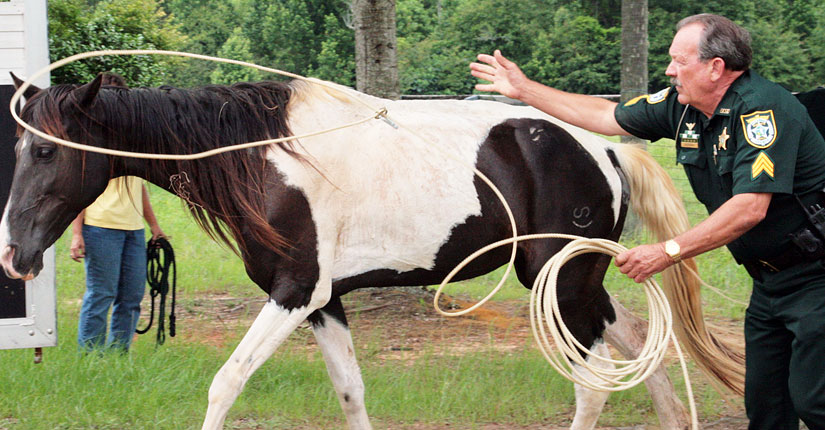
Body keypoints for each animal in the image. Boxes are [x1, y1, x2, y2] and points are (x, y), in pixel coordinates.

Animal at [0, 73, 741, 429]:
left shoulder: (294, 293)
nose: (13, 254)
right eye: (21, 147)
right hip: (578, 281)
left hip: (555, 284)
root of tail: (607, 149)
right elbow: (352, 394)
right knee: (638, 342)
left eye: (45, 151)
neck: (262, 155)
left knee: (593, 383)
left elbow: (225, 384)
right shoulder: (325, 304)